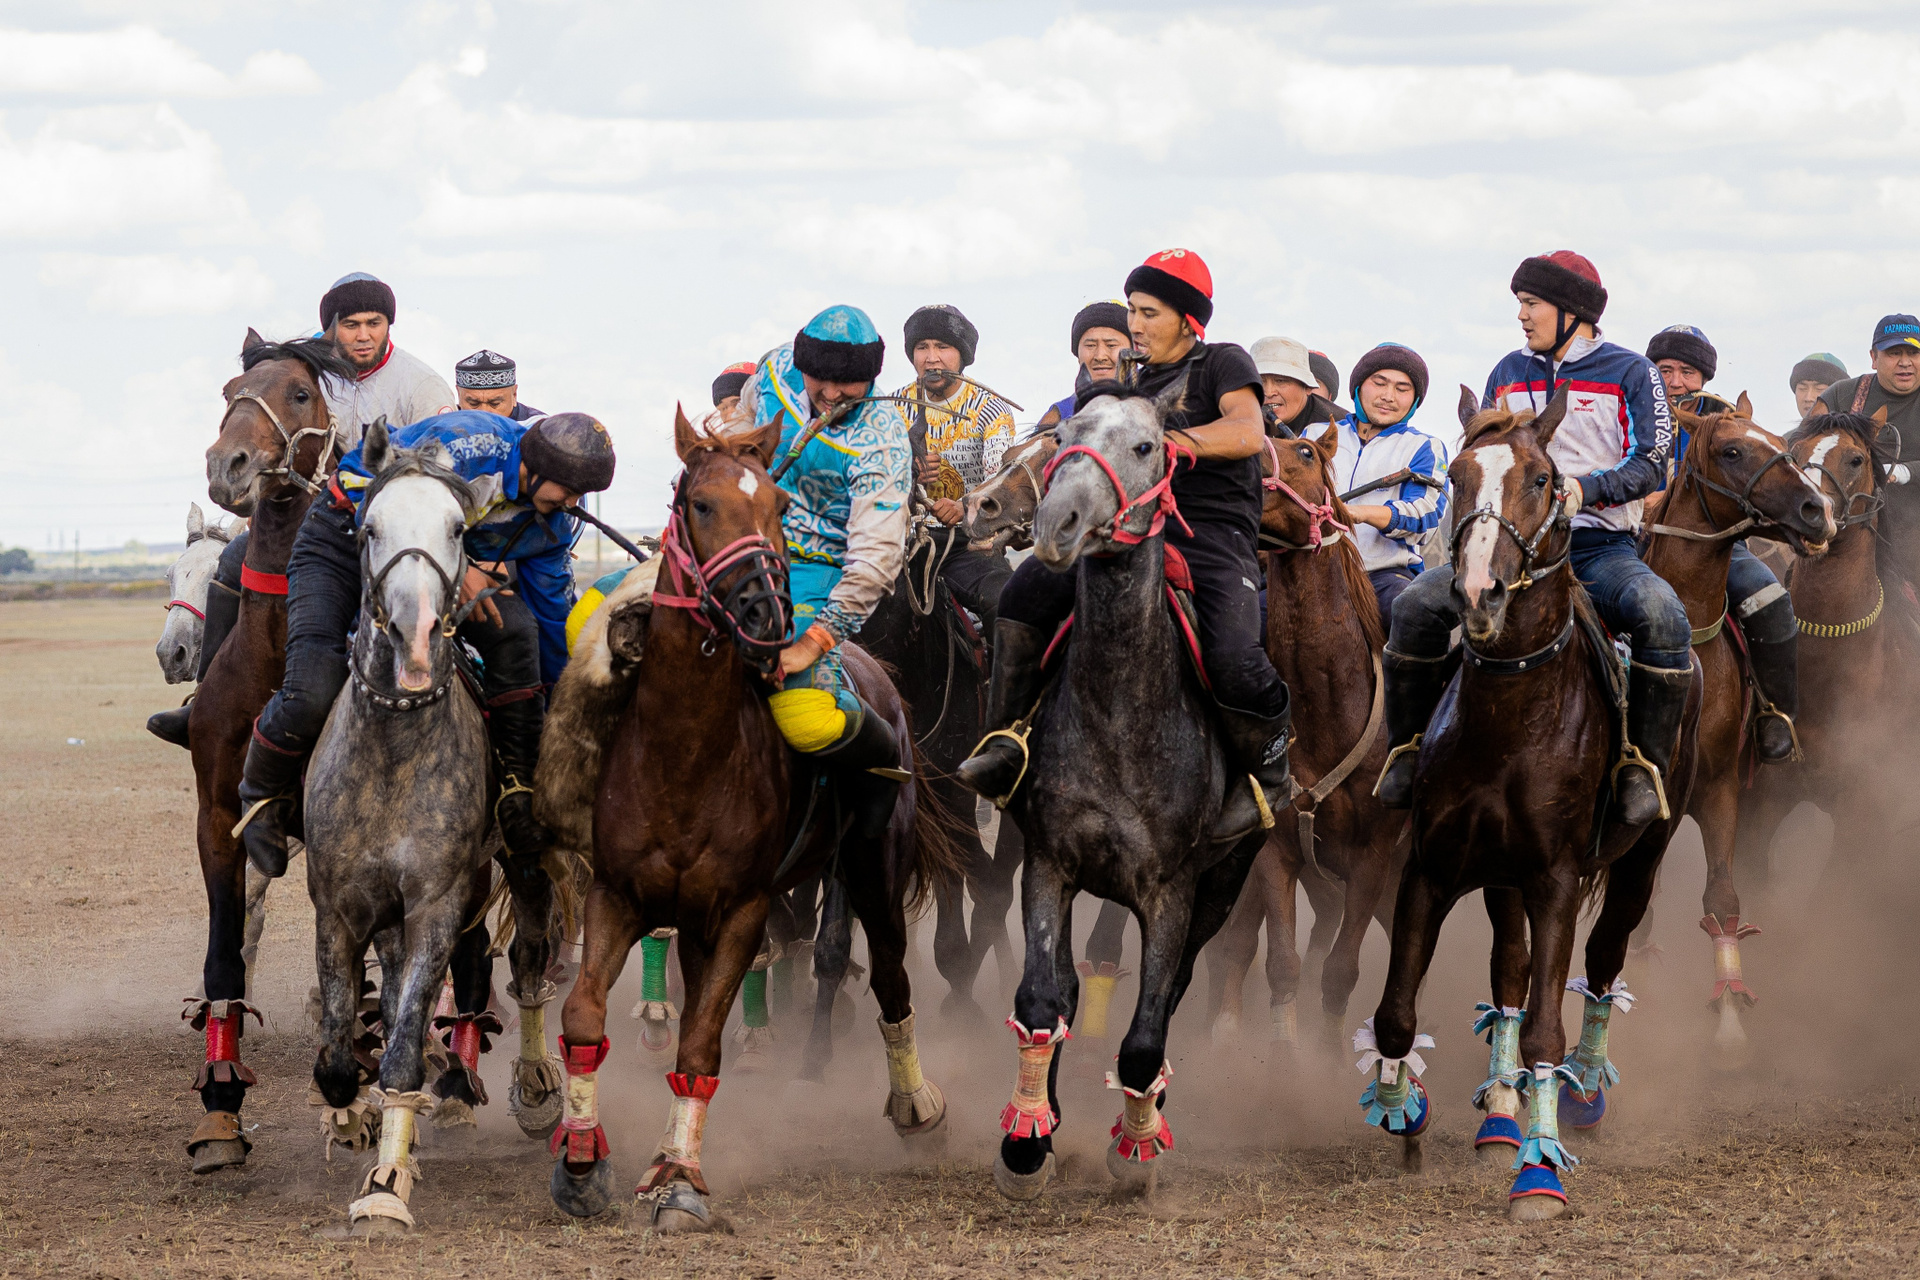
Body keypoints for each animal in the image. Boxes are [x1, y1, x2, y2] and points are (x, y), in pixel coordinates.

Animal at [544, 409, 959, 1233]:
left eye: (777, 503)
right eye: (699, 503)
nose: (767, 613)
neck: (684, 750)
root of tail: (879, 680)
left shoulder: (743, 909)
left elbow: (702, 1046)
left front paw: (679, 1180)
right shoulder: (618, 894)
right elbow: (583, 1015)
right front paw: (581, 1160)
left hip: (873, 869)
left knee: (892, 976)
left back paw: (914, 1104)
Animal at [989, 384, 1267, 1201]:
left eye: (1145, 447)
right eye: (1065, 437)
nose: (1057, 525)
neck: (1120, 708)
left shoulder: (1172, 891)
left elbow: (1146, 1031)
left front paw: (1135, 1148)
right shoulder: (1048, 863)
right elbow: (1042, 999)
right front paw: (1026, 1144)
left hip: (1225, 884)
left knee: (1171, 997)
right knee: (1066, 991)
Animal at [1364, 388, 1703, 1221]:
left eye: (1545, 479)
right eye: (1455, 474)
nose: (1477, 592)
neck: (1512, 713)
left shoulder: (1555, 880)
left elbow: (1549, 1028)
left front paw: (1541, 1173)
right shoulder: (1433, 869)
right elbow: (1397, 1010)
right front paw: (1401, 1109)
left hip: (1641, 858)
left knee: (1604, 962)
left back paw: (1582, 1092)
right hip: (1501, 878)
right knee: (1509, 975)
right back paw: (1499, 1109)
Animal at [1640, 397, 1834, 1058]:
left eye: (1780, 441)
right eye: (1731, 451)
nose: (1818, 511)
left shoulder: (1722, 790)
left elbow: (1723, 896)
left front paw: (1730, 1020)